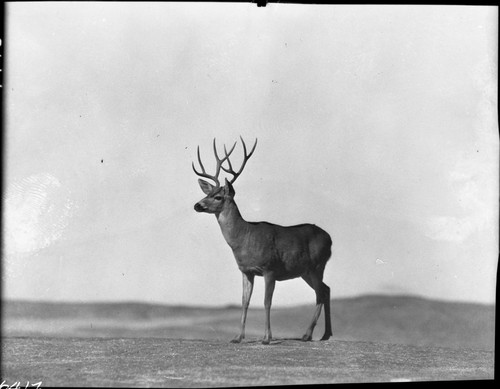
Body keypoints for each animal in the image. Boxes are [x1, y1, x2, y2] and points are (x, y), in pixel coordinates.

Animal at [193, 136, 334, 342]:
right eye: (206, 193)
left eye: (218, 196)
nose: (197, 205)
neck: (244, 238)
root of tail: (330, 238)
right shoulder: (246, 271)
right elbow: (245, 302)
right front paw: (238, 337)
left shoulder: (270, 269)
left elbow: (267, 302)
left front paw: (267, 338)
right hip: (305, 271)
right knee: (326, 289)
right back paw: (324, 334)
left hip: (317, 265)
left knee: (321, 293)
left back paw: (308, 334)